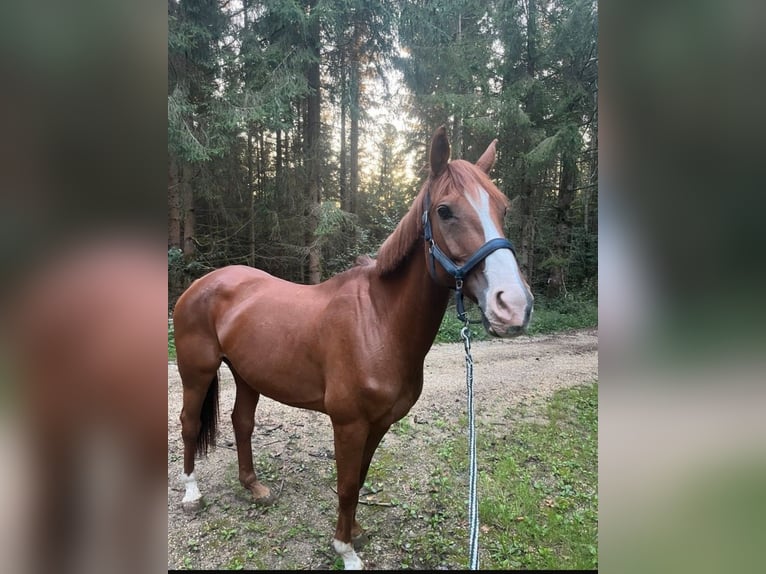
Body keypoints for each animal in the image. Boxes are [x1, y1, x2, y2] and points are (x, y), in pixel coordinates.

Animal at [173, 126, 534, 569]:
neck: (378, 322)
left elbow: (360, 478)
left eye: (503, 208)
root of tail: (201, 284)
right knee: (189, 423)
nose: (513, 305)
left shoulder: (379, 423)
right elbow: (345, 484)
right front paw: (345, 551)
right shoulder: (348, 424)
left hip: (246, 373)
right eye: (445, 210)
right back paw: (192, 494)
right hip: (197, 371)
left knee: (242, 422)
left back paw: (254, 487)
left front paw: (356, 532)